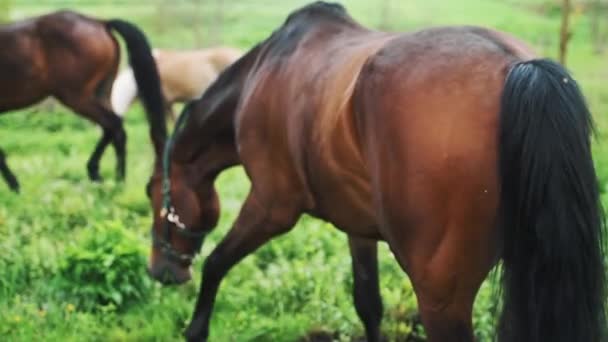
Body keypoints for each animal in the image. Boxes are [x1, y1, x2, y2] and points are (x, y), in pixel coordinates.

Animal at [0, 10, 166, 192]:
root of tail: (100, 23)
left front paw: (15, 187)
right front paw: (15, 186)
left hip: (76, 97)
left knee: (114, 124)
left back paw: (114, 180)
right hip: (101, 92)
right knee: (113, 127)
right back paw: (104, 177)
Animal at [145, 2, 604, 342]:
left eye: (153, 193)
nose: (159, 272)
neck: (262, 73)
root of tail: (518, 68)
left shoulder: (271, 206)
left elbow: (216, 263)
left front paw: (195, 329)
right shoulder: (358, 224)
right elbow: (368, 302)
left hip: (441, 296)